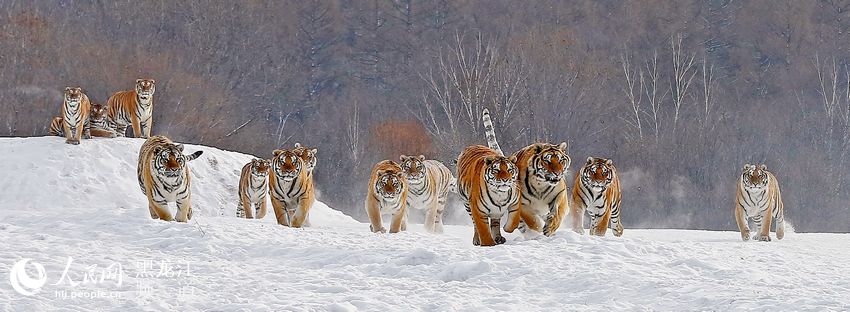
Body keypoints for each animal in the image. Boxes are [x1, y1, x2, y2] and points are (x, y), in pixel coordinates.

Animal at [454, 108, 520, 247]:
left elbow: (514, 220)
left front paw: (507, 229)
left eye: (510, 170)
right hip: (467, 203)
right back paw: (477, 240)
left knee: (495, 222)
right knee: (475, 224)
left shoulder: (516, 202)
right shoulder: (477, 209)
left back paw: (499, 237)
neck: (500, 195)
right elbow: (482, 228)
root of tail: (471, 145)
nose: (505, 180)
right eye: (496, 170)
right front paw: (488, 243)